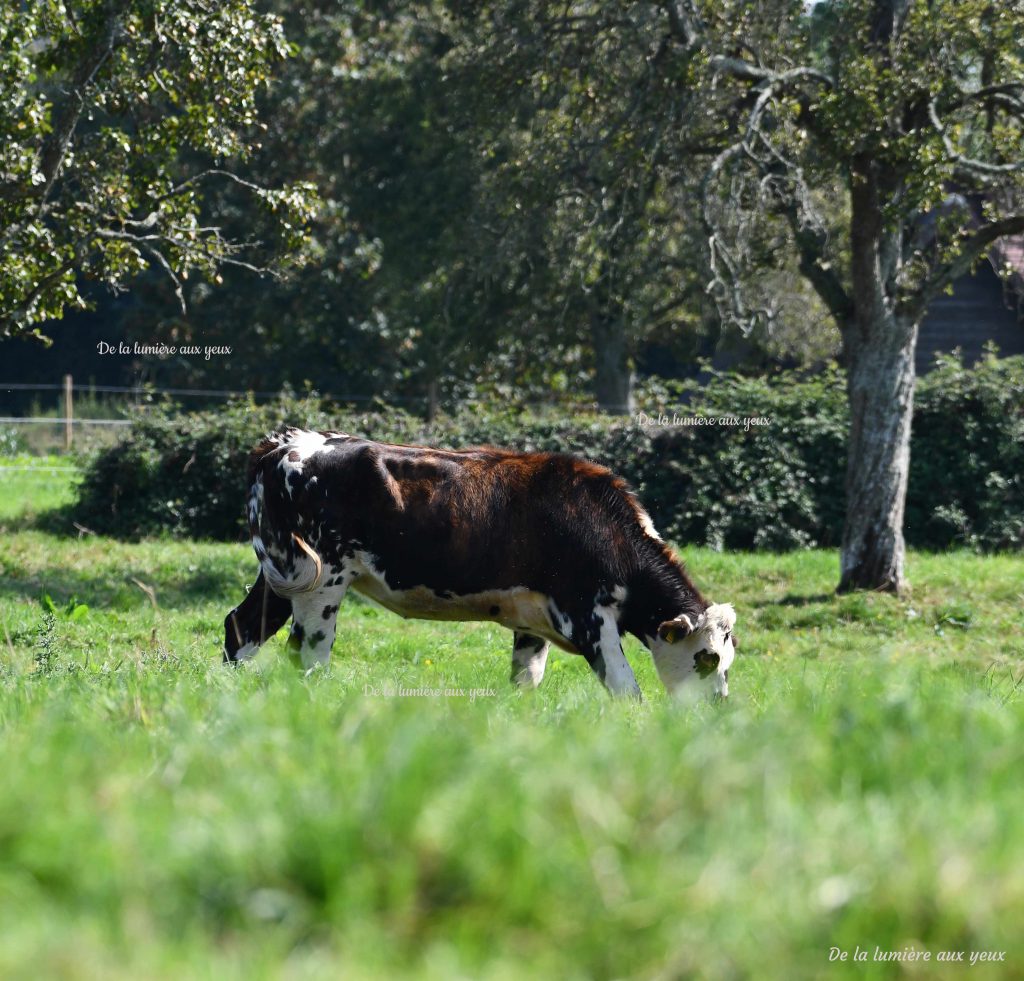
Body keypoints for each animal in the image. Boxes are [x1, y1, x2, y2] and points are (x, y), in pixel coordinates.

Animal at [224, 430, 737, 700]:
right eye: (708, 659)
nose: (719, 708)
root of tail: (287, 443)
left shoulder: (533, 623)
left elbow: (525, 681)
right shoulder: (589, 617)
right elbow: (626, 688)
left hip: (284, 573)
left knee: (243, 626)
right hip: (322, 581)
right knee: (308, 653)